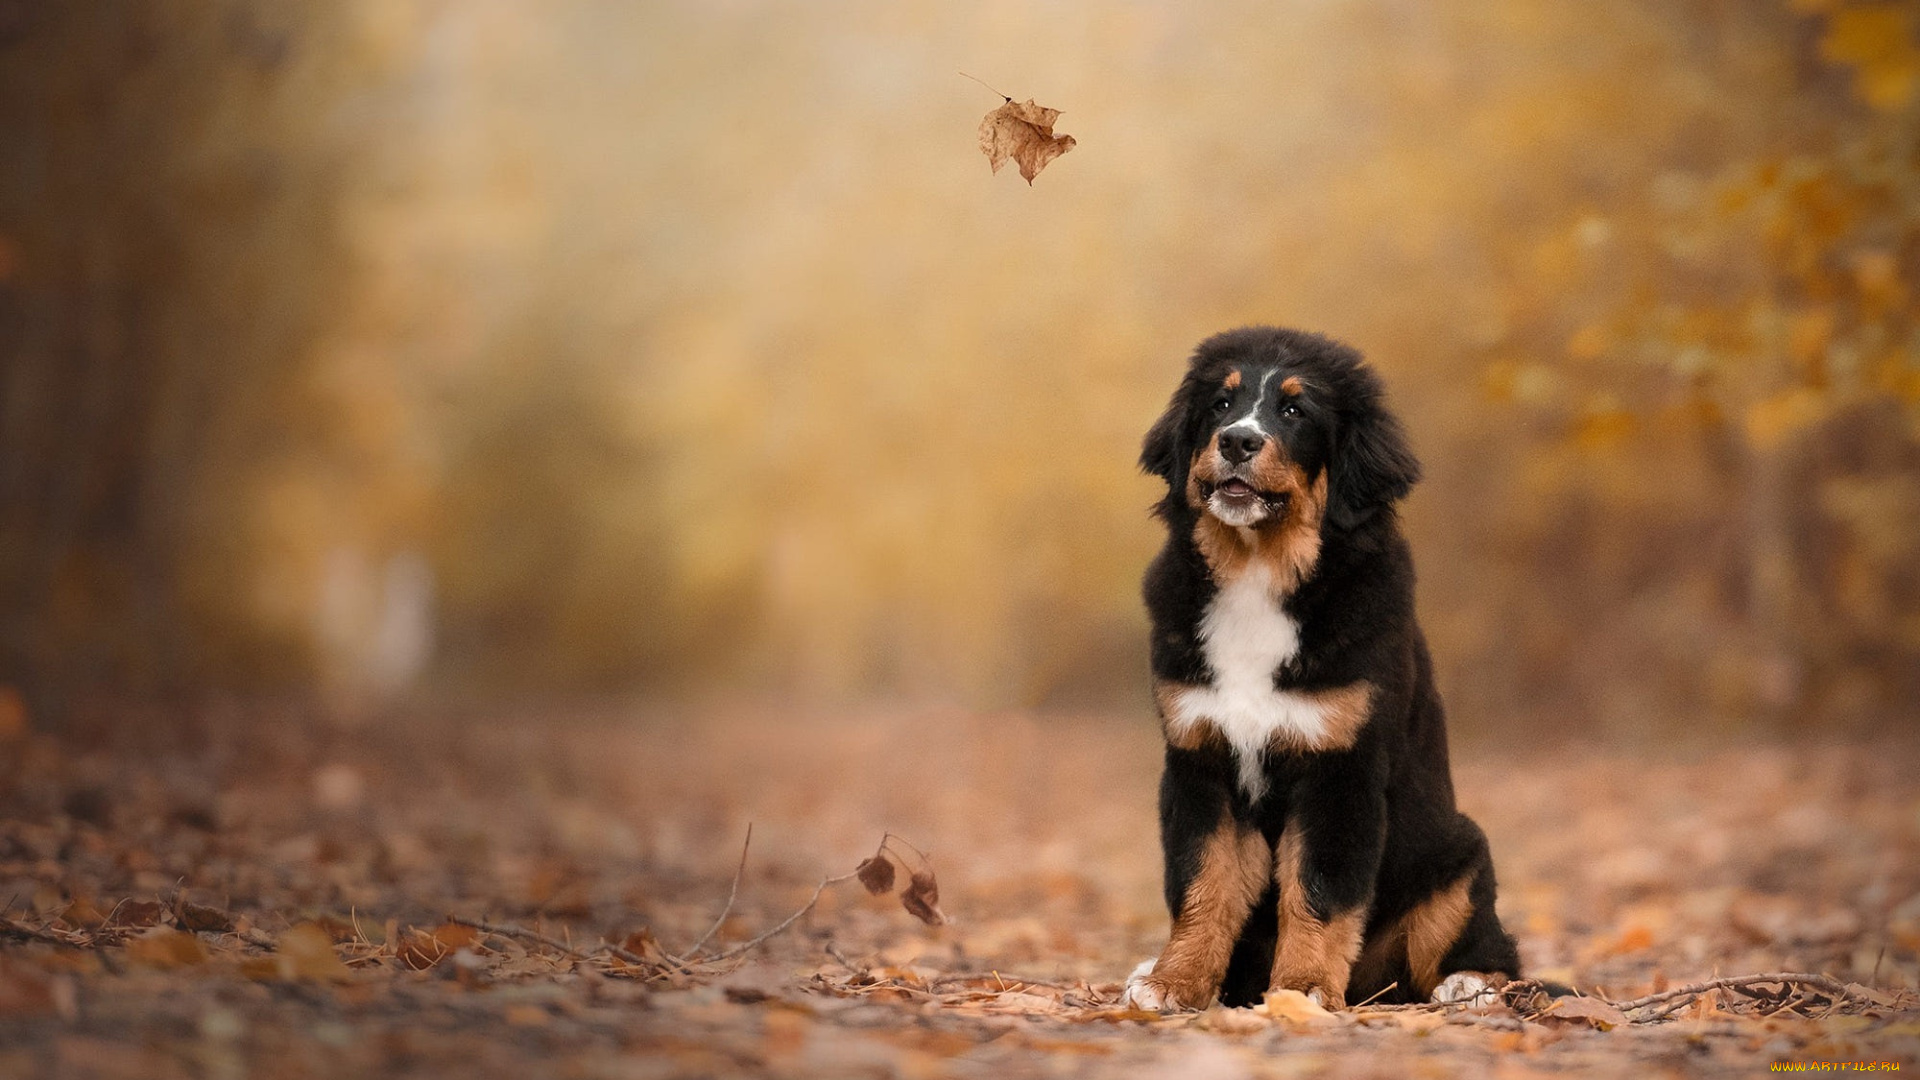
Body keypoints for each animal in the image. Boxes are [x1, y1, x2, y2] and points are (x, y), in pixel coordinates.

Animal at [1121, 320, 1520, 1006]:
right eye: (1220, 404)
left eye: (1294, 410)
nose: (1237, 441)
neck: (1257, 571)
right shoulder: (1200, 760)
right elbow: (1202, 887)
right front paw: (1175, 981)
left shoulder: (1339, 768)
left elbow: (1318, 892)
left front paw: (1302, 989)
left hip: (1460, 859)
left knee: (1495, 955)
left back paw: (1470, 985)